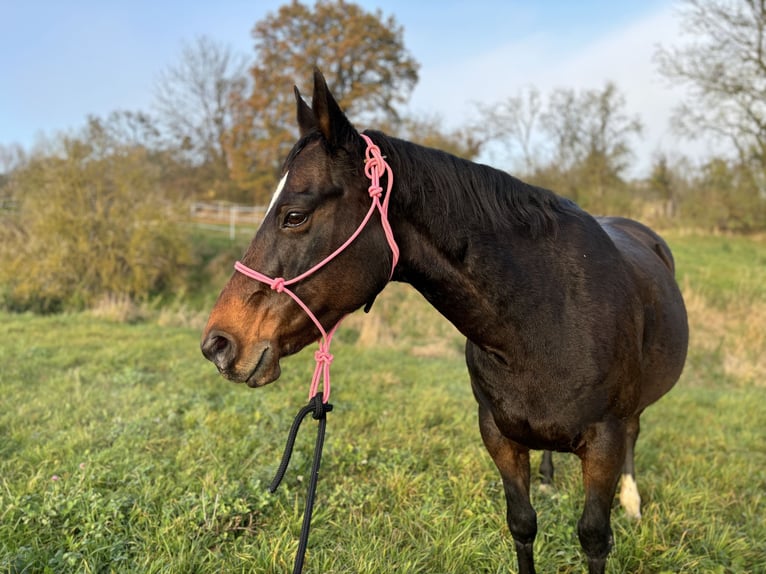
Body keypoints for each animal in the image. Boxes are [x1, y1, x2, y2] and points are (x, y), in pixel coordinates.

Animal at [202, 72, 688, 574]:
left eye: (294, 215)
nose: (219, 342)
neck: (546, 317)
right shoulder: (498, 435)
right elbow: (523, 524)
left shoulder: (603, 441)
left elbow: (593, 536)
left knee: (634, 433)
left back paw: (631, 501)